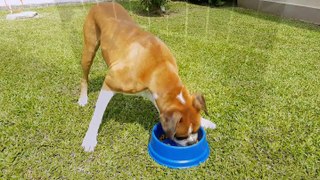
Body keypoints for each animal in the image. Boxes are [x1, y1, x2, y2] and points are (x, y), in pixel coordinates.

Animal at [79, 2, 216, 152]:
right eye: (181, 136)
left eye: (196, 130)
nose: (192, 142)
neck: (158, 67)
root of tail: (102, 3)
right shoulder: (109, 84)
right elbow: (97, 115)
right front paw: (90, 139)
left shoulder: (154, 95)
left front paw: (205, 121)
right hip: (89, 51)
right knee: (84, 77)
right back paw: (83, 98)